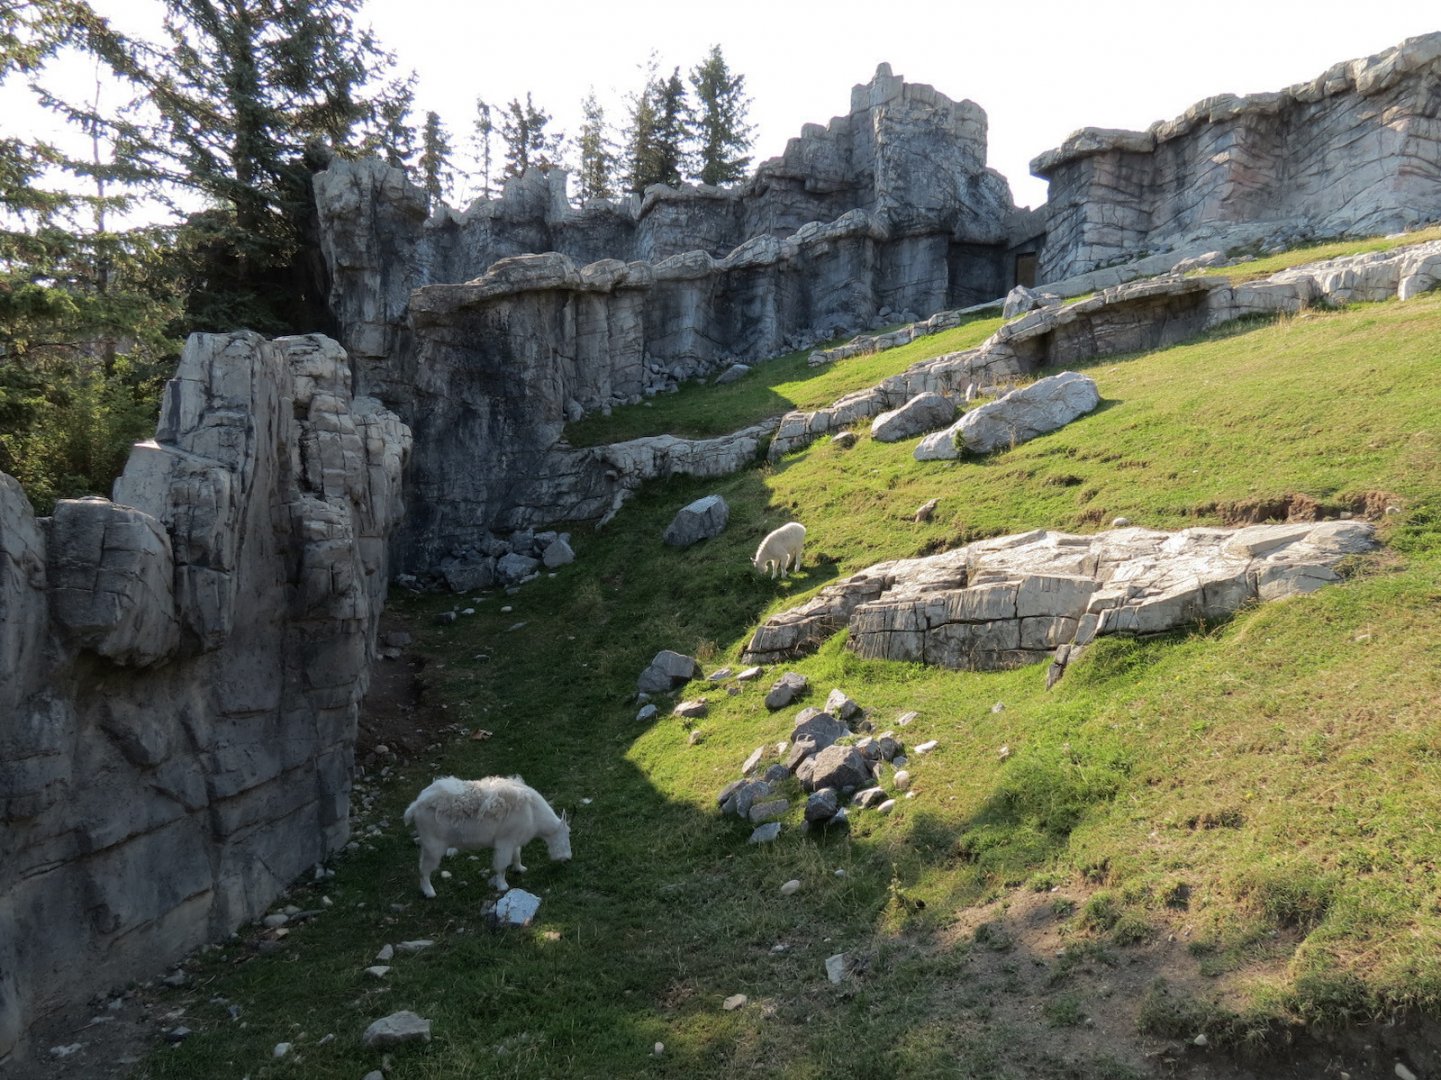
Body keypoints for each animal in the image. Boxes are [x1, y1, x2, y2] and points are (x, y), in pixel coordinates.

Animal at [403, 775, 571, 897]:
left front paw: (520, 869)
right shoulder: (505, 842)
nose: (568, 859)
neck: (533, 813)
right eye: (567, 835)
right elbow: (502, 865)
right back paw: (430, 892)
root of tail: (415, 807)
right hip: (433, 845)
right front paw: (503, 886)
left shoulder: (514, 840)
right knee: (424, 869)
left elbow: (517, 855)